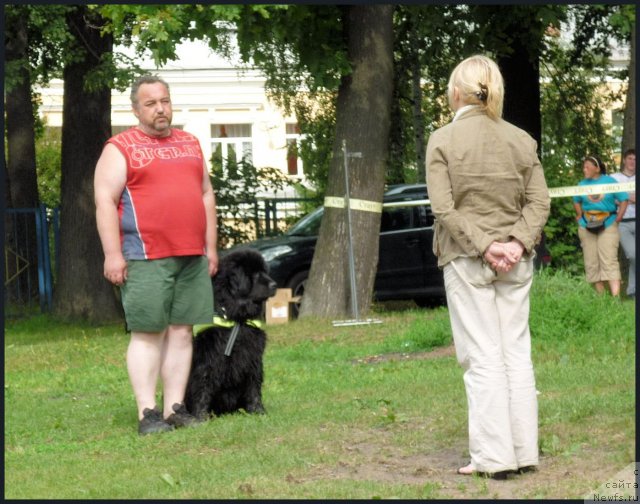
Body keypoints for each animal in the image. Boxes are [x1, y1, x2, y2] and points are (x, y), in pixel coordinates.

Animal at [184, 249, 276, 422]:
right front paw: (201, 417)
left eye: (264, 271)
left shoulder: (253, 358)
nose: (275, 285)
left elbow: (254, 386)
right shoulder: (208, 359)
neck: (237, 319)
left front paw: (258, 411)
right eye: (254, 274)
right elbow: (203, 385)